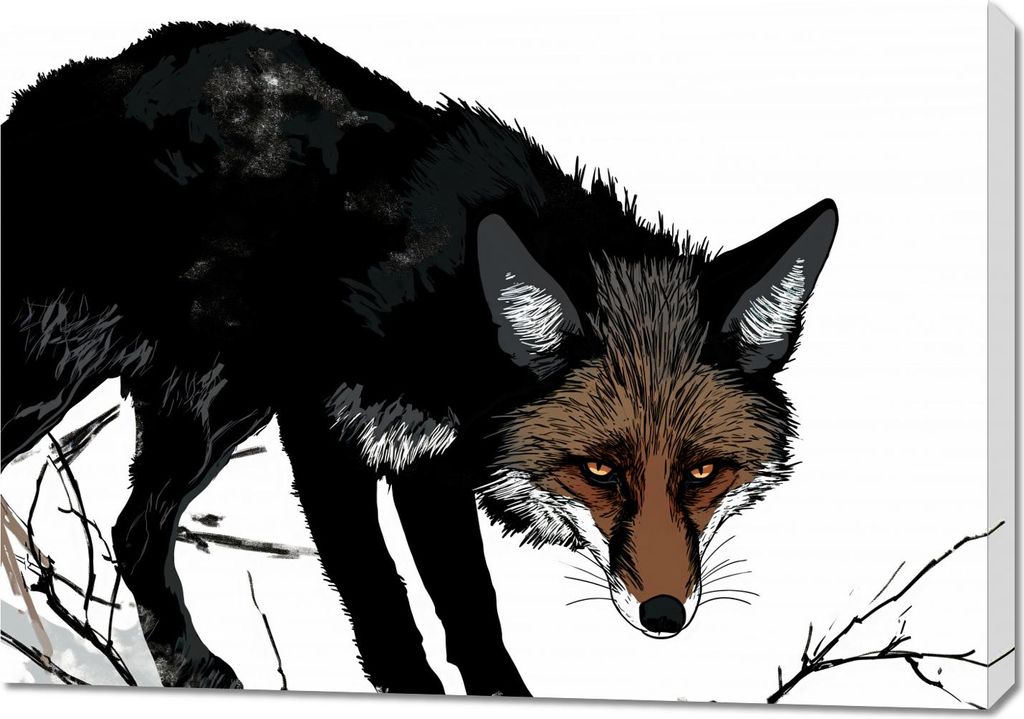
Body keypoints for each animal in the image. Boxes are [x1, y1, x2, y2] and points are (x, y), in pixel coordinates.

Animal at [1, 22, 837, 695]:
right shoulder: (326, 435)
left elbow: (469, 604)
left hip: (215, 412)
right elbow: (380, 593)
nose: (664, 614)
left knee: (134, 530)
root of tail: (70, 82)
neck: (440, 304)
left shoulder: (425, 459)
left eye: (703, 471)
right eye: (599, 469)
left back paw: (187, 667)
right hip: (55, 385)